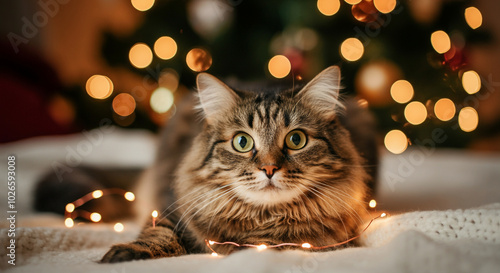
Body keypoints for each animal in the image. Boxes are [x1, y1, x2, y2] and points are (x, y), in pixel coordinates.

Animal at [99, 65, 376, 262]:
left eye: (296, 140)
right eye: (242, 142)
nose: (269, 168)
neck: (263, 219)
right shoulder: (171, 207)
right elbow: (158, 231)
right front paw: (126, 253)